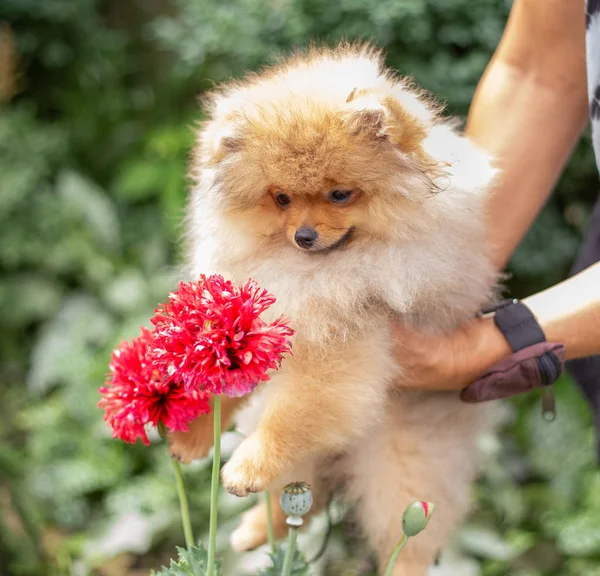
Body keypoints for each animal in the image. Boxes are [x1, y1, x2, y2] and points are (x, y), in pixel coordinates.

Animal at [172, 45, 496, 576]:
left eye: (340, 193)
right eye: (281, 198)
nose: (303, 235)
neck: (318, 273)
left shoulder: (345, 350)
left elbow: (292, 415)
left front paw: (246, 466)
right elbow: (218, 380)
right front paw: (194, 433)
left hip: (403, 459)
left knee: (402, 530)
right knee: (304, 493)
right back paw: (255, 530)